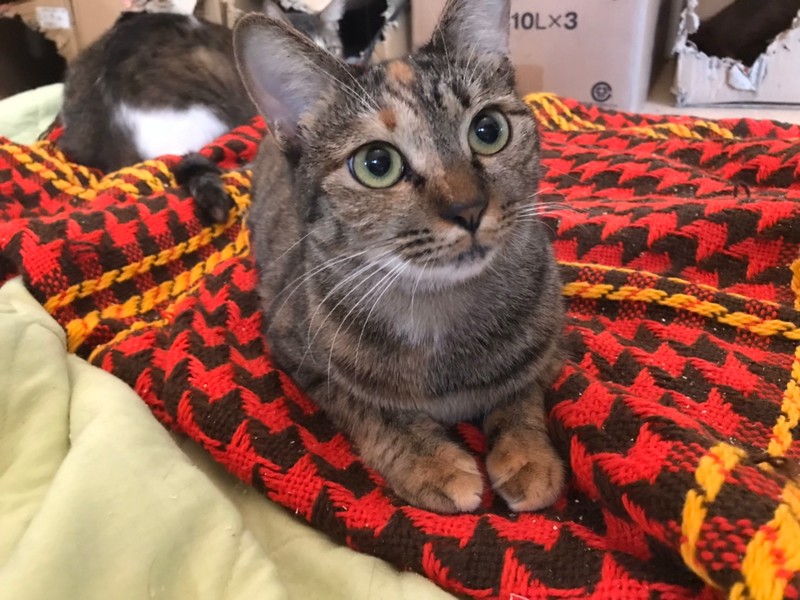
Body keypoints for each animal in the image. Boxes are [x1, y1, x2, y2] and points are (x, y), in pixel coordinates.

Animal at [234, 0, 566, 513]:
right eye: (377, 164)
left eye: (489, 130)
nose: (468, 208)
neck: (439, 310)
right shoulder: (294, 353)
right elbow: (369, 408)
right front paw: (431, 463)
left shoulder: (549, 339)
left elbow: (522, 388)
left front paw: (528, 455)